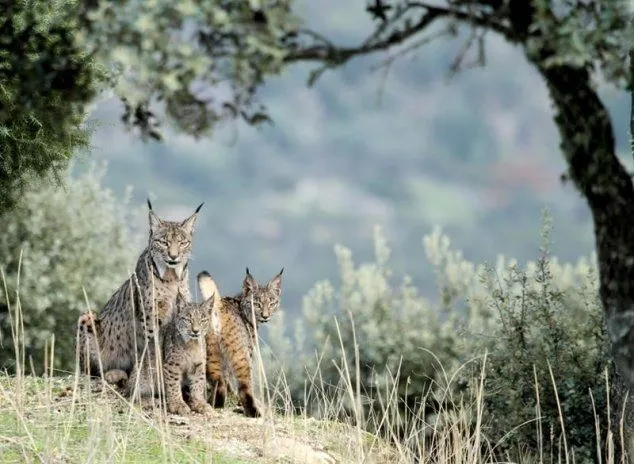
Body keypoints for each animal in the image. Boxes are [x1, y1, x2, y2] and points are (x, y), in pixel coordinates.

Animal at [76, 199, 202, 396]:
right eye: (163, 242)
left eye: (182, 243)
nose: (173, 256)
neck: (172, 276)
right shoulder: (151, 316)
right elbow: (154, 346)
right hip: (86, 316)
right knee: (91, 373)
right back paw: (114, 373)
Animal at [198, 268, 282, 416]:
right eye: (257, 304)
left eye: (272, 303)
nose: (265, 316)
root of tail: (219, 305)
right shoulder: (248, 349)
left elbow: (226, 378)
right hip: (240, 353)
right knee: (244, 386)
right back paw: (253, 412)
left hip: (210, 352)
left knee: (219, 382)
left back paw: (215, 404)